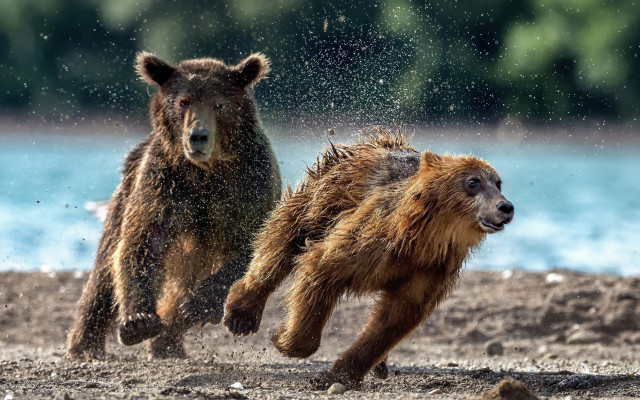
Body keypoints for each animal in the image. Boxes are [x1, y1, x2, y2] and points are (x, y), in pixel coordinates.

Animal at [66, 51, 281, 360]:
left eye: (219, 104)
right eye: (183, 101)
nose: (198, 136)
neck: (208, 170)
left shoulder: (250, 183)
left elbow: (250, 244)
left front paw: (198, 304)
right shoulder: (164, 183)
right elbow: (144, 242)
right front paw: (138, 321)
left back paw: (172, 334)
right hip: (126, 196)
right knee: (104, 276)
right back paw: (85, 345)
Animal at [223, 126, 514, 387]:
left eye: (498, 182)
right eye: (473, 182)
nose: (505, 206)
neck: (422, 239)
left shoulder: (429, 269)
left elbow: (393, 318)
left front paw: (339, 375)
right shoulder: (371, 240)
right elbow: (321, 267)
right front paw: (285, 338)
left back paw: (381, 366)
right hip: (324, 198)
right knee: (283, 239)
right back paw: (241, 315)